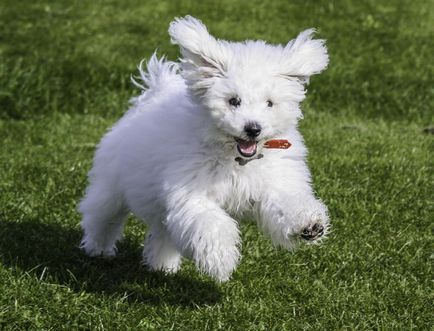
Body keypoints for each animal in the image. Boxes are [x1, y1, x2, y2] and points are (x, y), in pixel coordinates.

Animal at [79, 14, 328, 282]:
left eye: (270, 103)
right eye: (233, 101)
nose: (253, 128)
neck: (235, 158)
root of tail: (153, 93)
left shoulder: (273, 182)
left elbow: (286, 202)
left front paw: (309, 225)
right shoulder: (190, 192)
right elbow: (210, 224)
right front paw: (222, 260)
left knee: (164, 232)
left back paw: (163, 266)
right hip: (112, 186)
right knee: (102, 214)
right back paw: (98, 248)